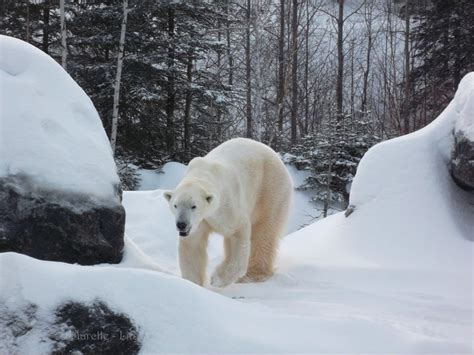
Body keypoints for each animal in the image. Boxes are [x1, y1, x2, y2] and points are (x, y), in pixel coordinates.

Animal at [163, 138, 292, 288]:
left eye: (194, 206)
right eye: (175, 205)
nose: (181, 224)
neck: (205, 172)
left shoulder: (228, 205)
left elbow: (238, 235)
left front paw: (217, 279)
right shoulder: (198, 223)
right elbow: (192, 245)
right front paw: (193, 284)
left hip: (270, 190)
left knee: (264, 232)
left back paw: (252, 275)